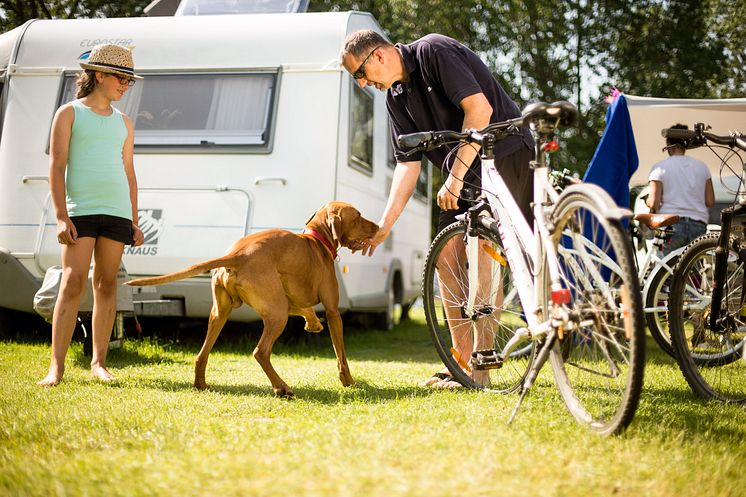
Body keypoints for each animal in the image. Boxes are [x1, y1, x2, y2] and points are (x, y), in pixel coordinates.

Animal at [125, 200, 378, 398]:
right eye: (358, 216)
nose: (377, 227)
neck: (317, 240)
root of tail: (237, 254)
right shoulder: (333, 311)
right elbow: (341, 355)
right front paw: (348, 381)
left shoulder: (287, 300)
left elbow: (304, 309)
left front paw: (313, 323)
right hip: (276, 315)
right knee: (260, 352)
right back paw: (282, 388)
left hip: (222, 313)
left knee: (201, 355)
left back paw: (200, 384)